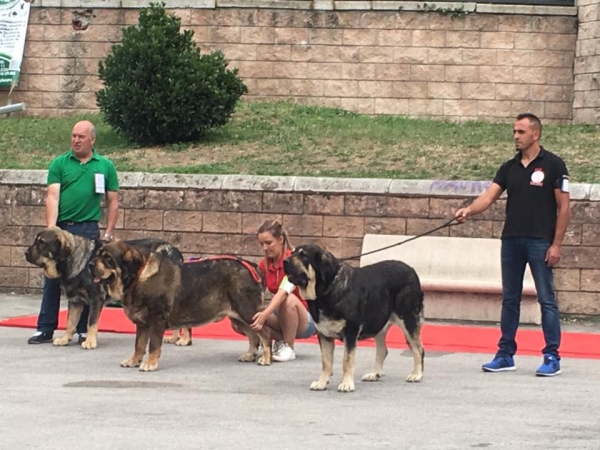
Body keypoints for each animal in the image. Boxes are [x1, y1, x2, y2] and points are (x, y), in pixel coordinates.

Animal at [24, 227, 179, 350]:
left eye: (41, 242)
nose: (25, 253)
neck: (73, 260)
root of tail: (173, 249)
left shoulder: (95, 298)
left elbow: (91, 322)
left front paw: (90, 341)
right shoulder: (75, 300)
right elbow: (70, 322)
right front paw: (64, 338)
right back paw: (175, 338)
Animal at [89, 241, 272, 370]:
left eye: (108, 259)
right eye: (98, 255)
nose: (90, 264)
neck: (138, 275)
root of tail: (253, 267)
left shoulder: (157, 320)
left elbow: (153, 345)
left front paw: (150, 364)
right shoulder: (142, 323)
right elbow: (139, 345)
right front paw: (134, 360)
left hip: (247, 311)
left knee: (264, 333)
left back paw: (266, 358)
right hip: (238, 318)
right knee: (253, 335)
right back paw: (250, 355)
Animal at [284, 243, 424, 394]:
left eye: (303, 255)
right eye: (292, 253)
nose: (284, 261)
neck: (326, 290)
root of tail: (411, 270)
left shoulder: (350, 331)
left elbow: (347, 360)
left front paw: (346, 384)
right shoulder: (324, 334)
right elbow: (326, 362)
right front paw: (322, 383)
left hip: (408, 319)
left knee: (418, 349)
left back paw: (417, 374)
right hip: (378, 322)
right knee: (383, 350)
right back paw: (374, 374)